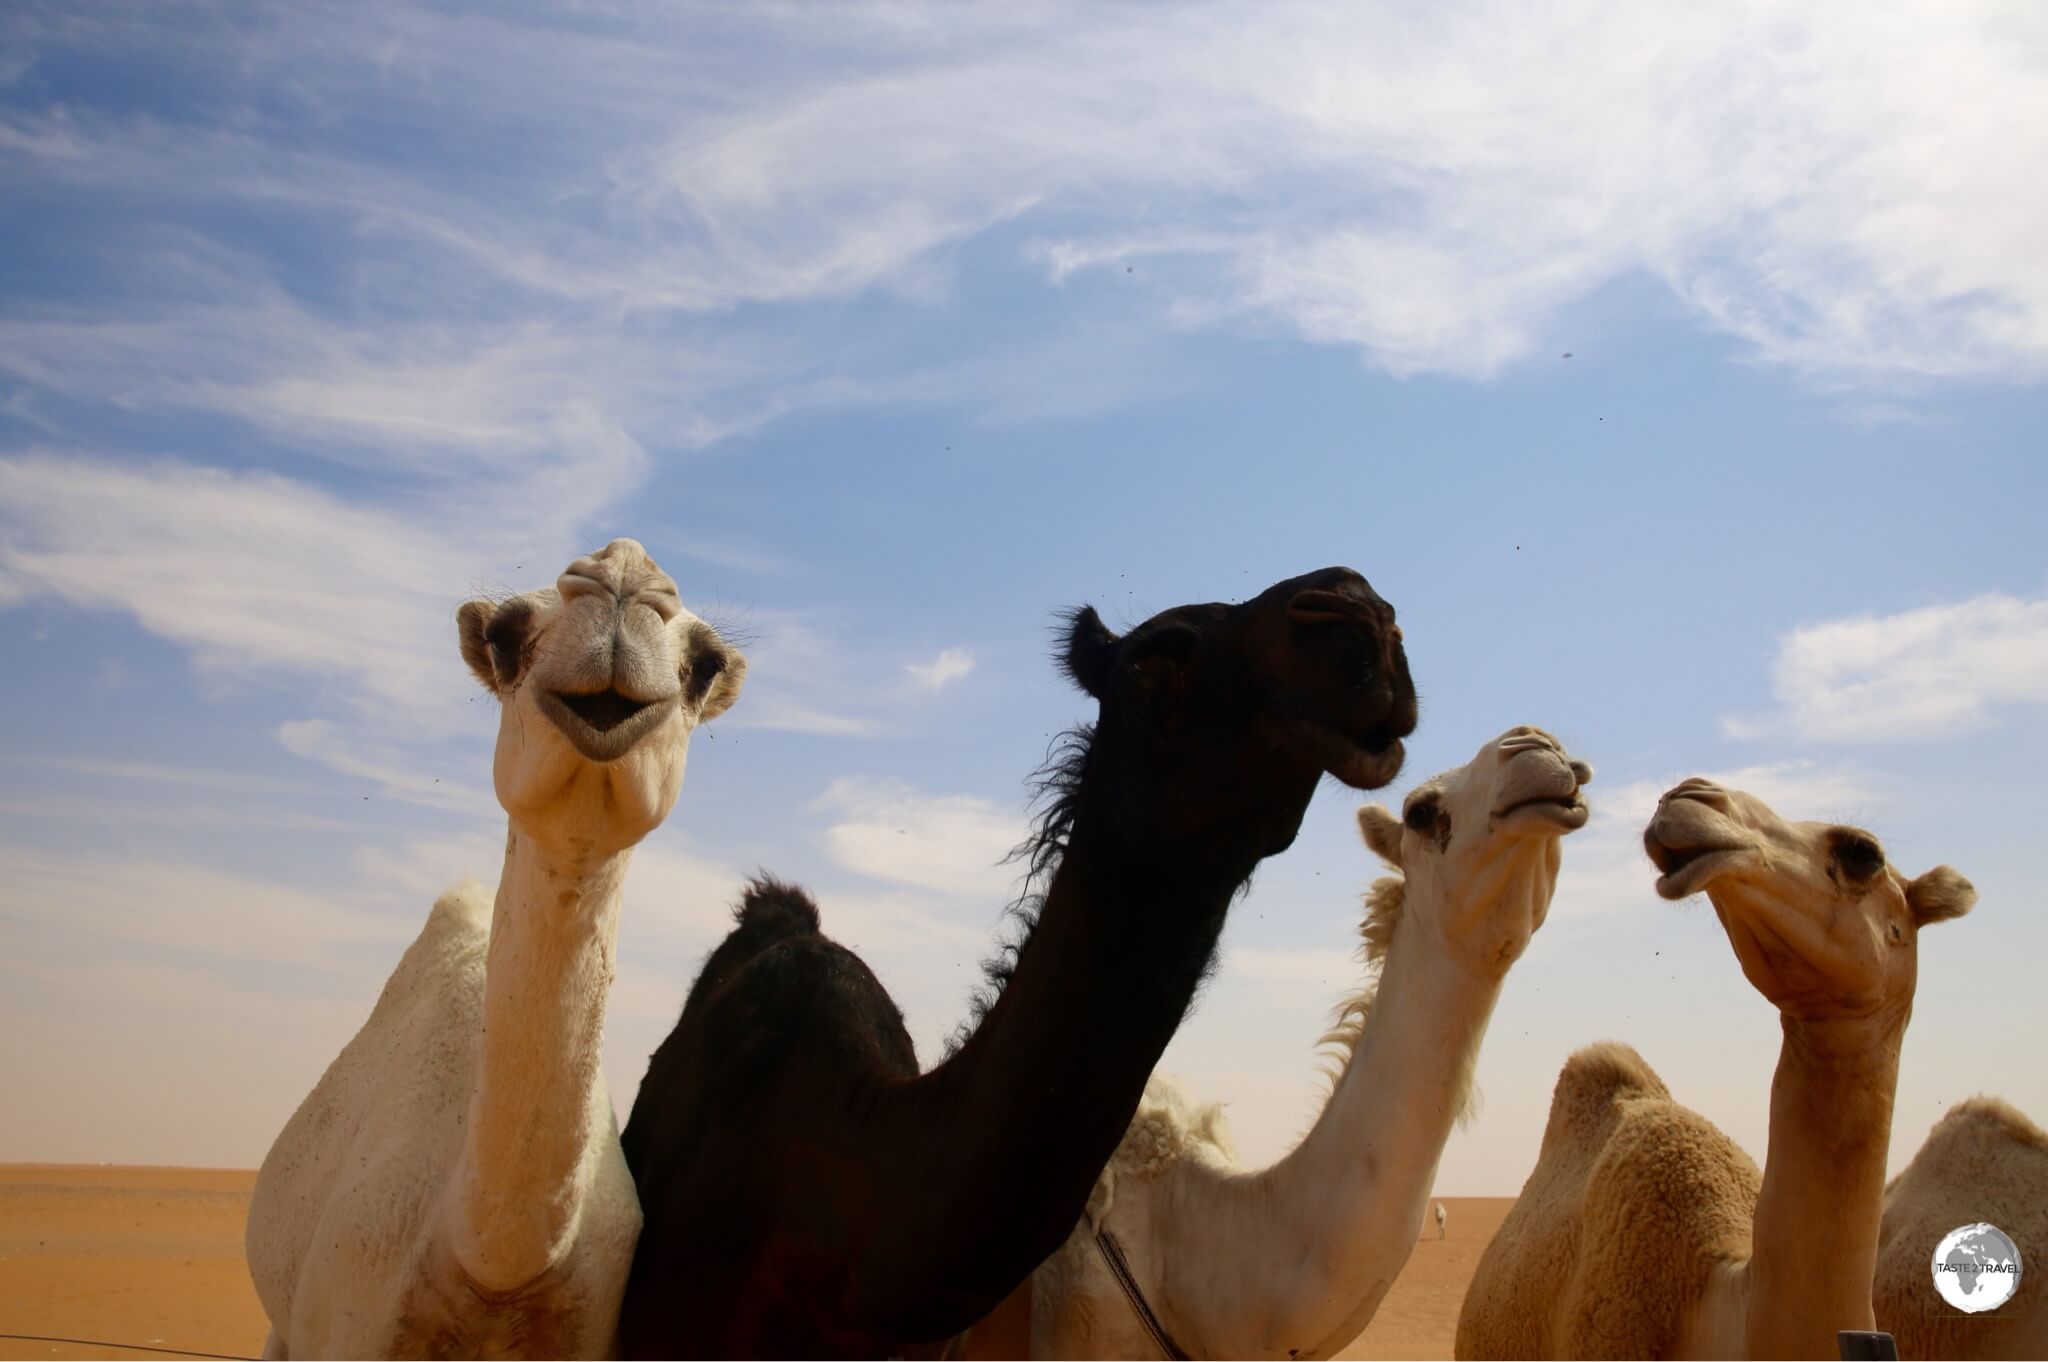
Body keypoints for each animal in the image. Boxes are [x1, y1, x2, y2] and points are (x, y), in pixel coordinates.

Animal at [242, 536, 745, 1351]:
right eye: (505, 636)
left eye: (704, 663)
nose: (622, 571)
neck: (492, 1267)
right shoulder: (346, 1322)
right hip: (287, 1320)